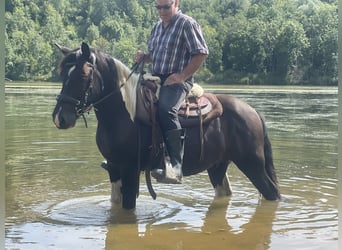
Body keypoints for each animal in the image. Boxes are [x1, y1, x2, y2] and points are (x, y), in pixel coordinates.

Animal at [51, 42, 280, 209]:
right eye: (62, 74)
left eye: (83, 75)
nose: (60, 117)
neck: (124, 114)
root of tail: (253, 112)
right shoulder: (114, 169)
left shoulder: (129, 170)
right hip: (217, 165)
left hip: (252, 164)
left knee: (272, 193)